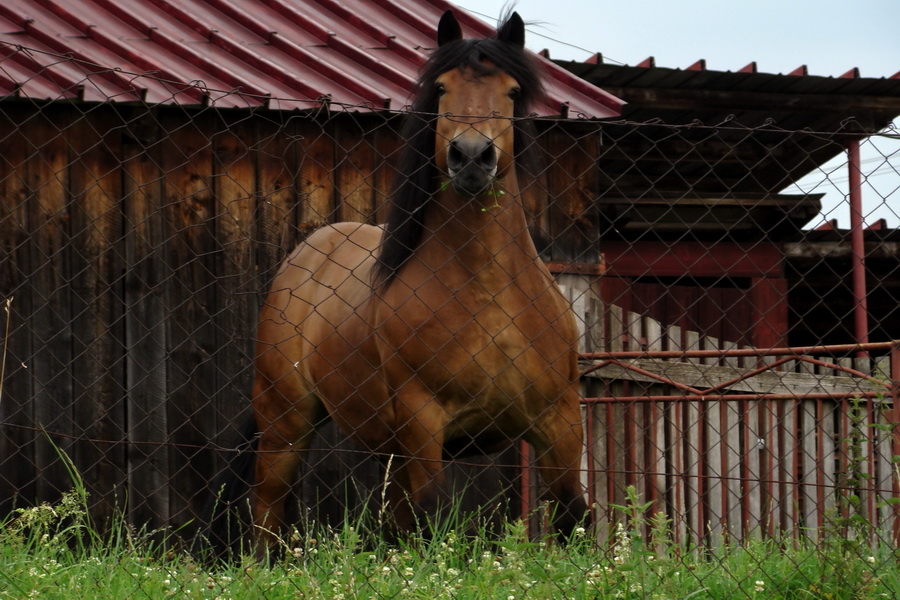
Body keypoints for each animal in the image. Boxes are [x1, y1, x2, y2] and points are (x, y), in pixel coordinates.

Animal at [204, 9, 592, 556]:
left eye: (513, 91)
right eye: (442, 88)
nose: (471, 157)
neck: (491, 295)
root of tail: (307, 254)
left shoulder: (559, 423)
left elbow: (574, 520)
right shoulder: (424, 423)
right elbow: (432, 519)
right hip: (285, 423)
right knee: (267, 512)